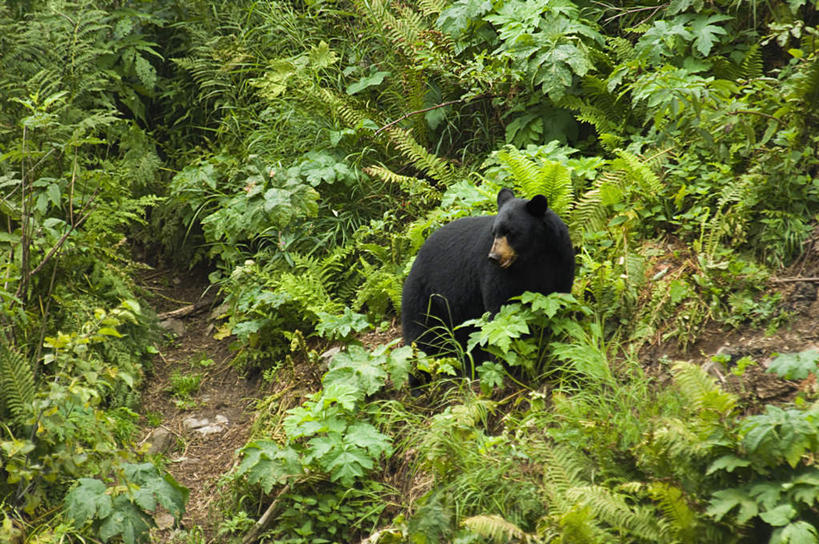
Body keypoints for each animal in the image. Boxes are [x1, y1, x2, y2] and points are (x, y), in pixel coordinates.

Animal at [400, 186, 572, 370]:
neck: (533, 257)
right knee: (421, 333)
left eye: (511, 232)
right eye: (494, 232)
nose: (494, 257)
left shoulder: (560, 260)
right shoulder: (498, 273)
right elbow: (500, 306)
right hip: (426, 294)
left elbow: (559, 300)